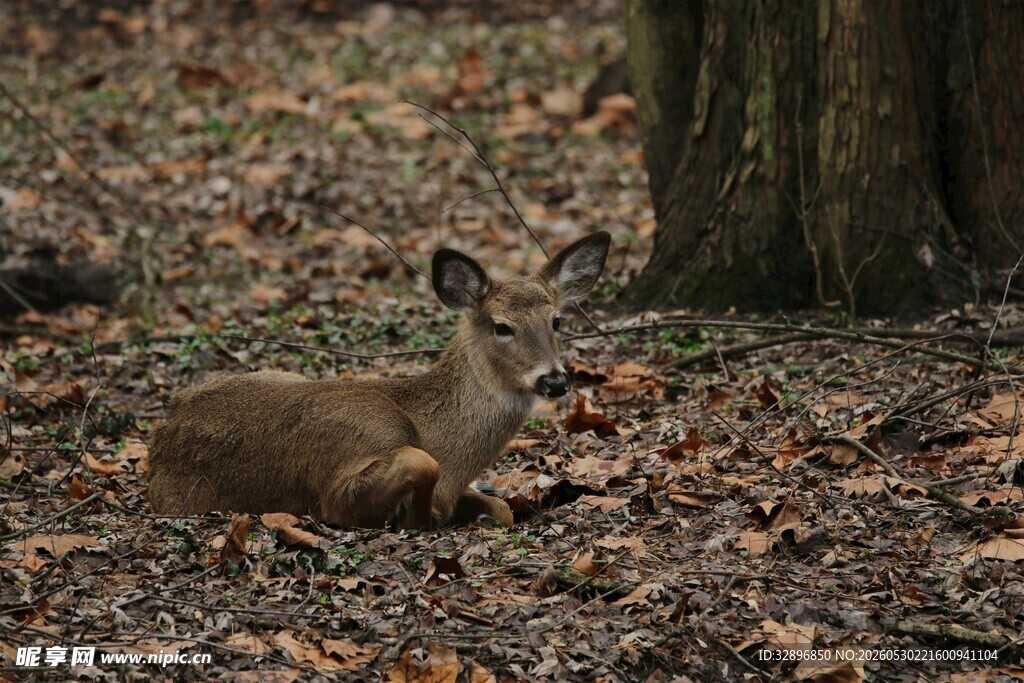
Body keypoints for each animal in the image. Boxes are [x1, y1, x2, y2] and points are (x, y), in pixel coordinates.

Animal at [148, 231, 610, 530]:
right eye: (501, 326)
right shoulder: (336, 489)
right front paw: (412, 519)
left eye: (556, 320)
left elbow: (503, 509)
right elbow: (421, 464)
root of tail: (161, 432)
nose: (555, 381)